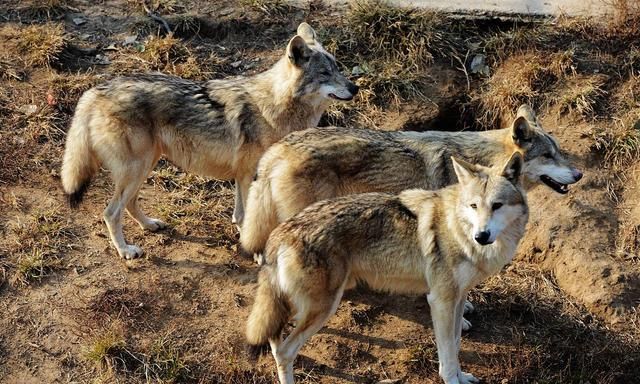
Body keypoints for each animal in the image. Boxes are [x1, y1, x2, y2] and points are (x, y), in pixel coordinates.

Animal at [60, 22, 358, 260]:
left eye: (338, 68)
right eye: (325, 74)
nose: (355, 88)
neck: (274, 108)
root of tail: (95, 91)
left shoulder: (246, 176)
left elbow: (243, 216)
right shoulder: (248, 176)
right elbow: (247, 217)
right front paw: (257, 253)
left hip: (145, 166)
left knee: (130, 204)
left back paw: (150, 225)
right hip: (136, 169)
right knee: (111, 212)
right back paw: (125, 250)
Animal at [245, 152, 528, 384]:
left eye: (497, 205)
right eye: (474, 206)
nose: (481, 235)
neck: (456, 228)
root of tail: (281, 232)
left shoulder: (457, 300)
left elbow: (456, 346)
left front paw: (463, 376)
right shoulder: (440, 301)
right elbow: (447, 355)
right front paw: (452, 380)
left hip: (302, 304)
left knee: (274, 336)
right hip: (323, 306)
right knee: (285, 351)